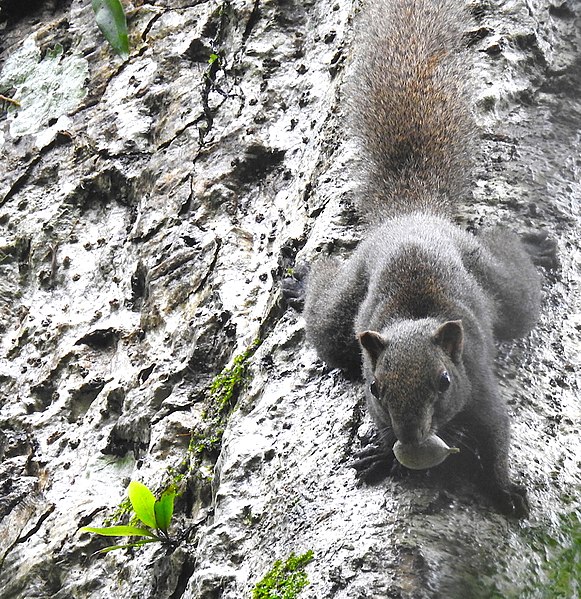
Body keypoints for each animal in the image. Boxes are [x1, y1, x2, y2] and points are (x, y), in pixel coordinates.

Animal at [282, 0, 556, 520]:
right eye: (375, 389)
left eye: (445, 381)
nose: (411, 437)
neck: (414, 320)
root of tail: (413, 214)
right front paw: (381, 455)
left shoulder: (480, 387)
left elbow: (496, 438)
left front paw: (504, 489)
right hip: (343, 308)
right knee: (327, 316)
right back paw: (302, 280)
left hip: (501, 286)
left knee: (512, 272)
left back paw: (531, 246)